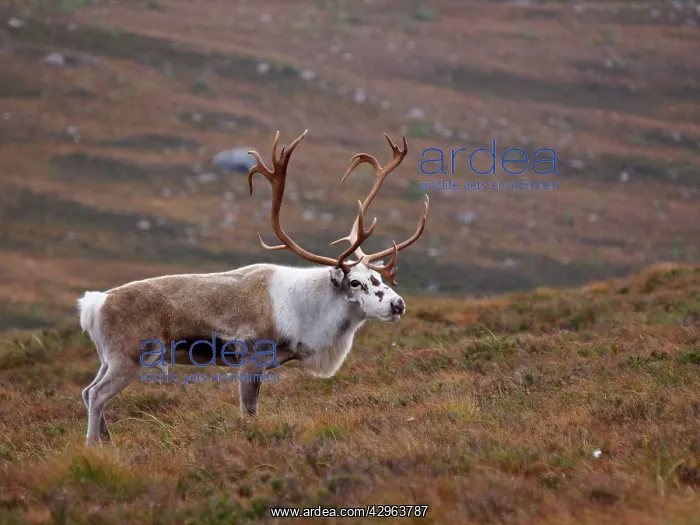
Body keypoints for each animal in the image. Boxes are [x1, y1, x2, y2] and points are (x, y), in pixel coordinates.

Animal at [77, 129, 429, 445]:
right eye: (355, 282)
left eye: (379, 277)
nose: (397, 304)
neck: (307, 309)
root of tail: (94, 304)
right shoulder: (251, 359)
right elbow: (249, 410)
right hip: (127, 357)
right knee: (96, 395)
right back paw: (93, 446)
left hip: (108, 358)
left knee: (87, 391)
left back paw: (107, 442)